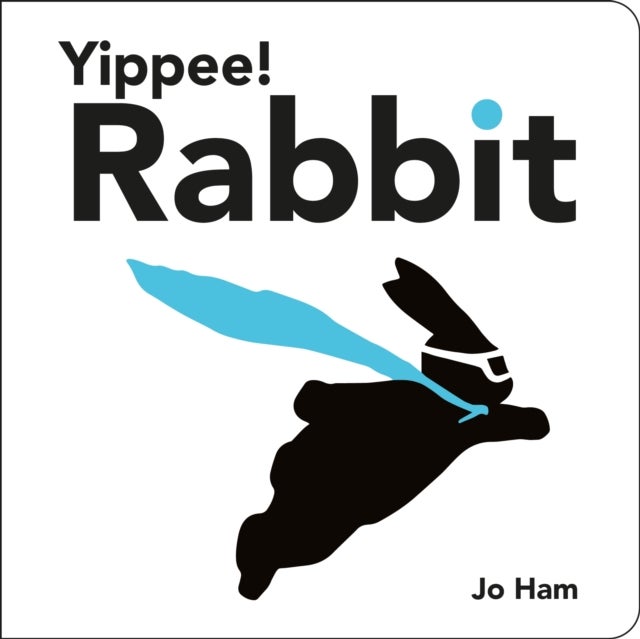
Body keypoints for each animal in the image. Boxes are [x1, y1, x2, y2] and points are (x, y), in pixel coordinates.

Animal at [236, 259, 549, 600]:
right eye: (496, 362)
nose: (507, 381)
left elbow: (310, 396)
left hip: (313, 533)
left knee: (263, 535)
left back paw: (252, 581)